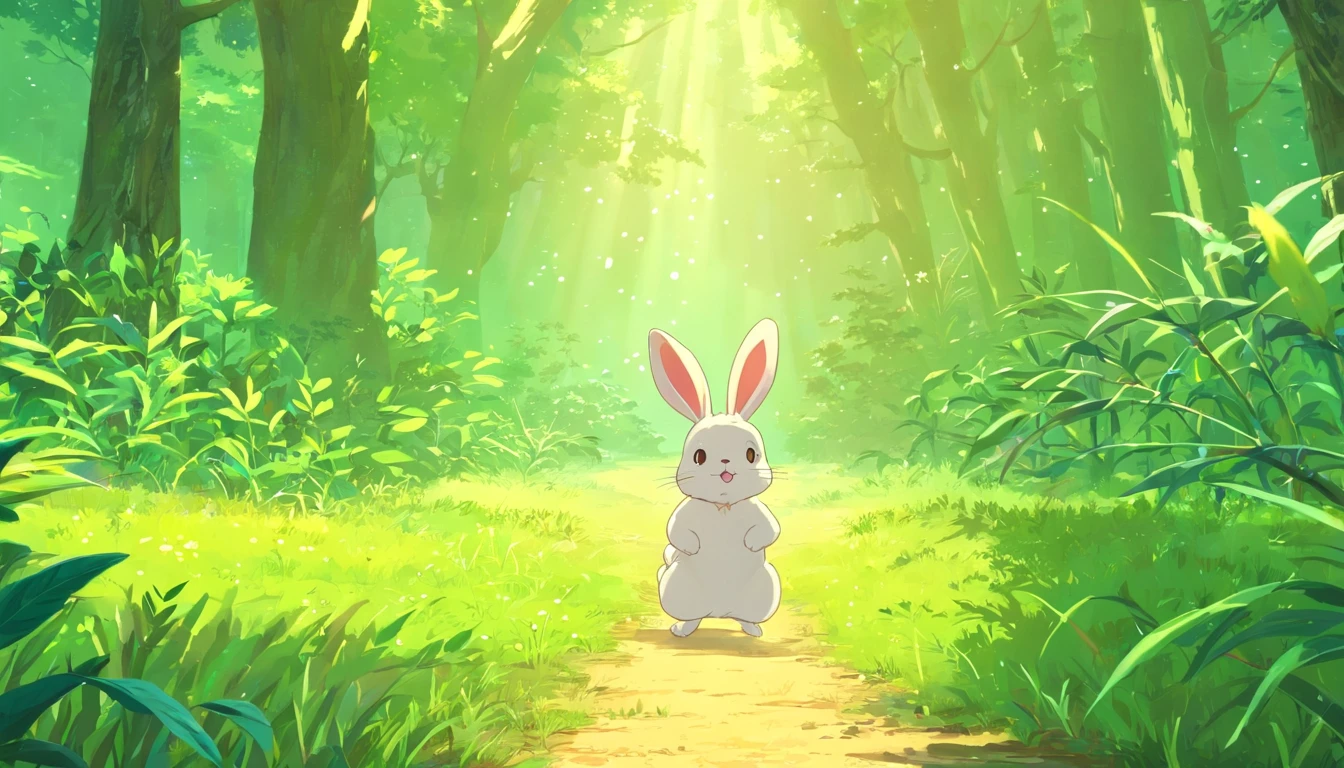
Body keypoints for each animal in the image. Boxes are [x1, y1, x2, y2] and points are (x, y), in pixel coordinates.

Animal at [648, 318, 782, 638]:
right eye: (699, 456)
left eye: (750, 454)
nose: (725, 464)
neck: (723, 508)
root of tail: (720, 613)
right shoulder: (684, 513)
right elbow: (675, 531)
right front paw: (691, 548)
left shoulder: (759, 511)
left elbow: (771, 529)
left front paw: (751, 543)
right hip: (677, 590)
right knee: (692, 617)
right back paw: (681, 629)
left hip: (767, 590)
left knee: (746, 617)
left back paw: (753, 630)